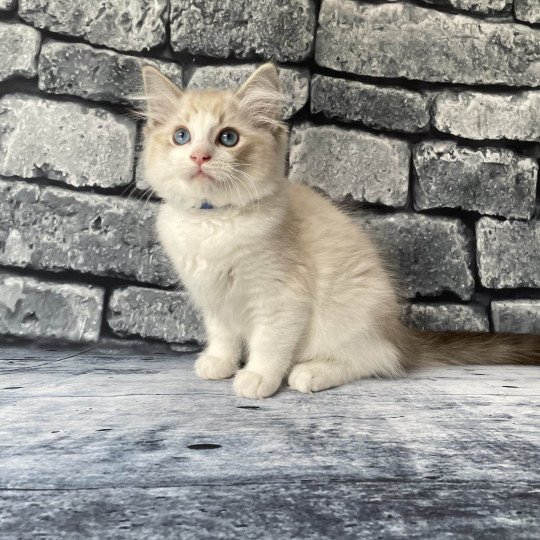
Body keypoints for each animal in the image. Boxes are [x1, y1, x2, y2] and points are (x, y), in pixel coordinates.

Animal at [140, 64, 540, 400]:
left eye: (227, 138)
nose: (199, 157)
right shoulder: (213, 297)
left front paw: (257, 378)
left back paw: (311, 372)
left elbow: (269, 343)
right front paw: (220, 363)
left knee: (379, 359)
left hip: (350, 311)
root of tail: (401, 334)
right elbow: (222, 335)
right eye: (181, 136)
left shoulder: (281, 298)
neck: (213, 221)